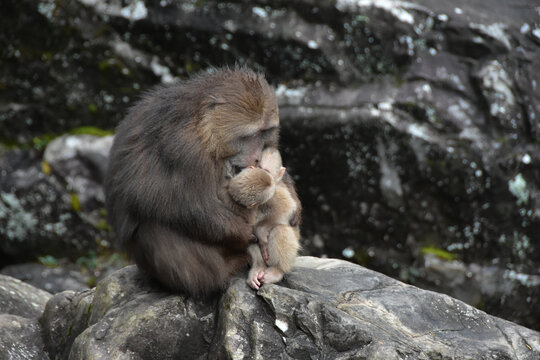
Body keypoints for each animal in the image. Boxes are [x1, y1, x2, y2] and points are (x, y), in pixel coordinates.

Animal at [228, 146, 300, 290]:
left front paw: (261, 231)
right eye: (259, 167)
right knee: (247, 237)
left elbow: (287, 206)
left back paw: (277, 270)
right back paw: (258, 268)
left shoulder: (275, 190)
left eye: (267, 170)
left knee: (279, 229)